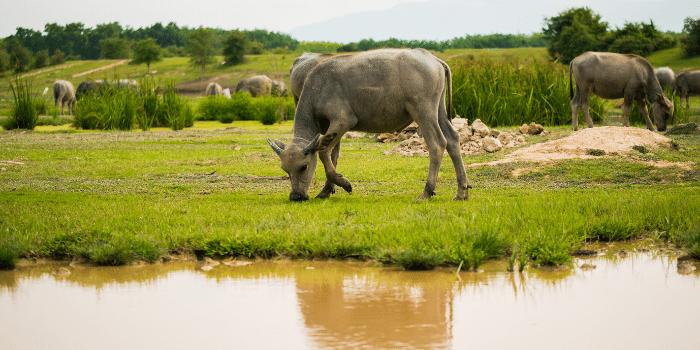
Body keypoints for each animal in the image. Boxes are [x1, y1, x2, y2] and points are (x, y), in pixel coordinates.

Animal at [266, 49, 474, 202]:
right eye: (285, 170)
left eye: (303, 167)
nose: (296, 196)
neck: (318, 88)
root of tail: (433, 59)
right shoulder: (332, 129)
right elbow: (333, 156)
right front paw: (327, 190)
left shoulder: (343, 121)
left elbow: (324, 153)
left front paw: (344, 183)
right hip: (439, 111)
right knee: (452, 140)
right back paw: (461, 192)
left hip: (423, 111)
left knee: (437, 144)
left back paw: (427, 192)